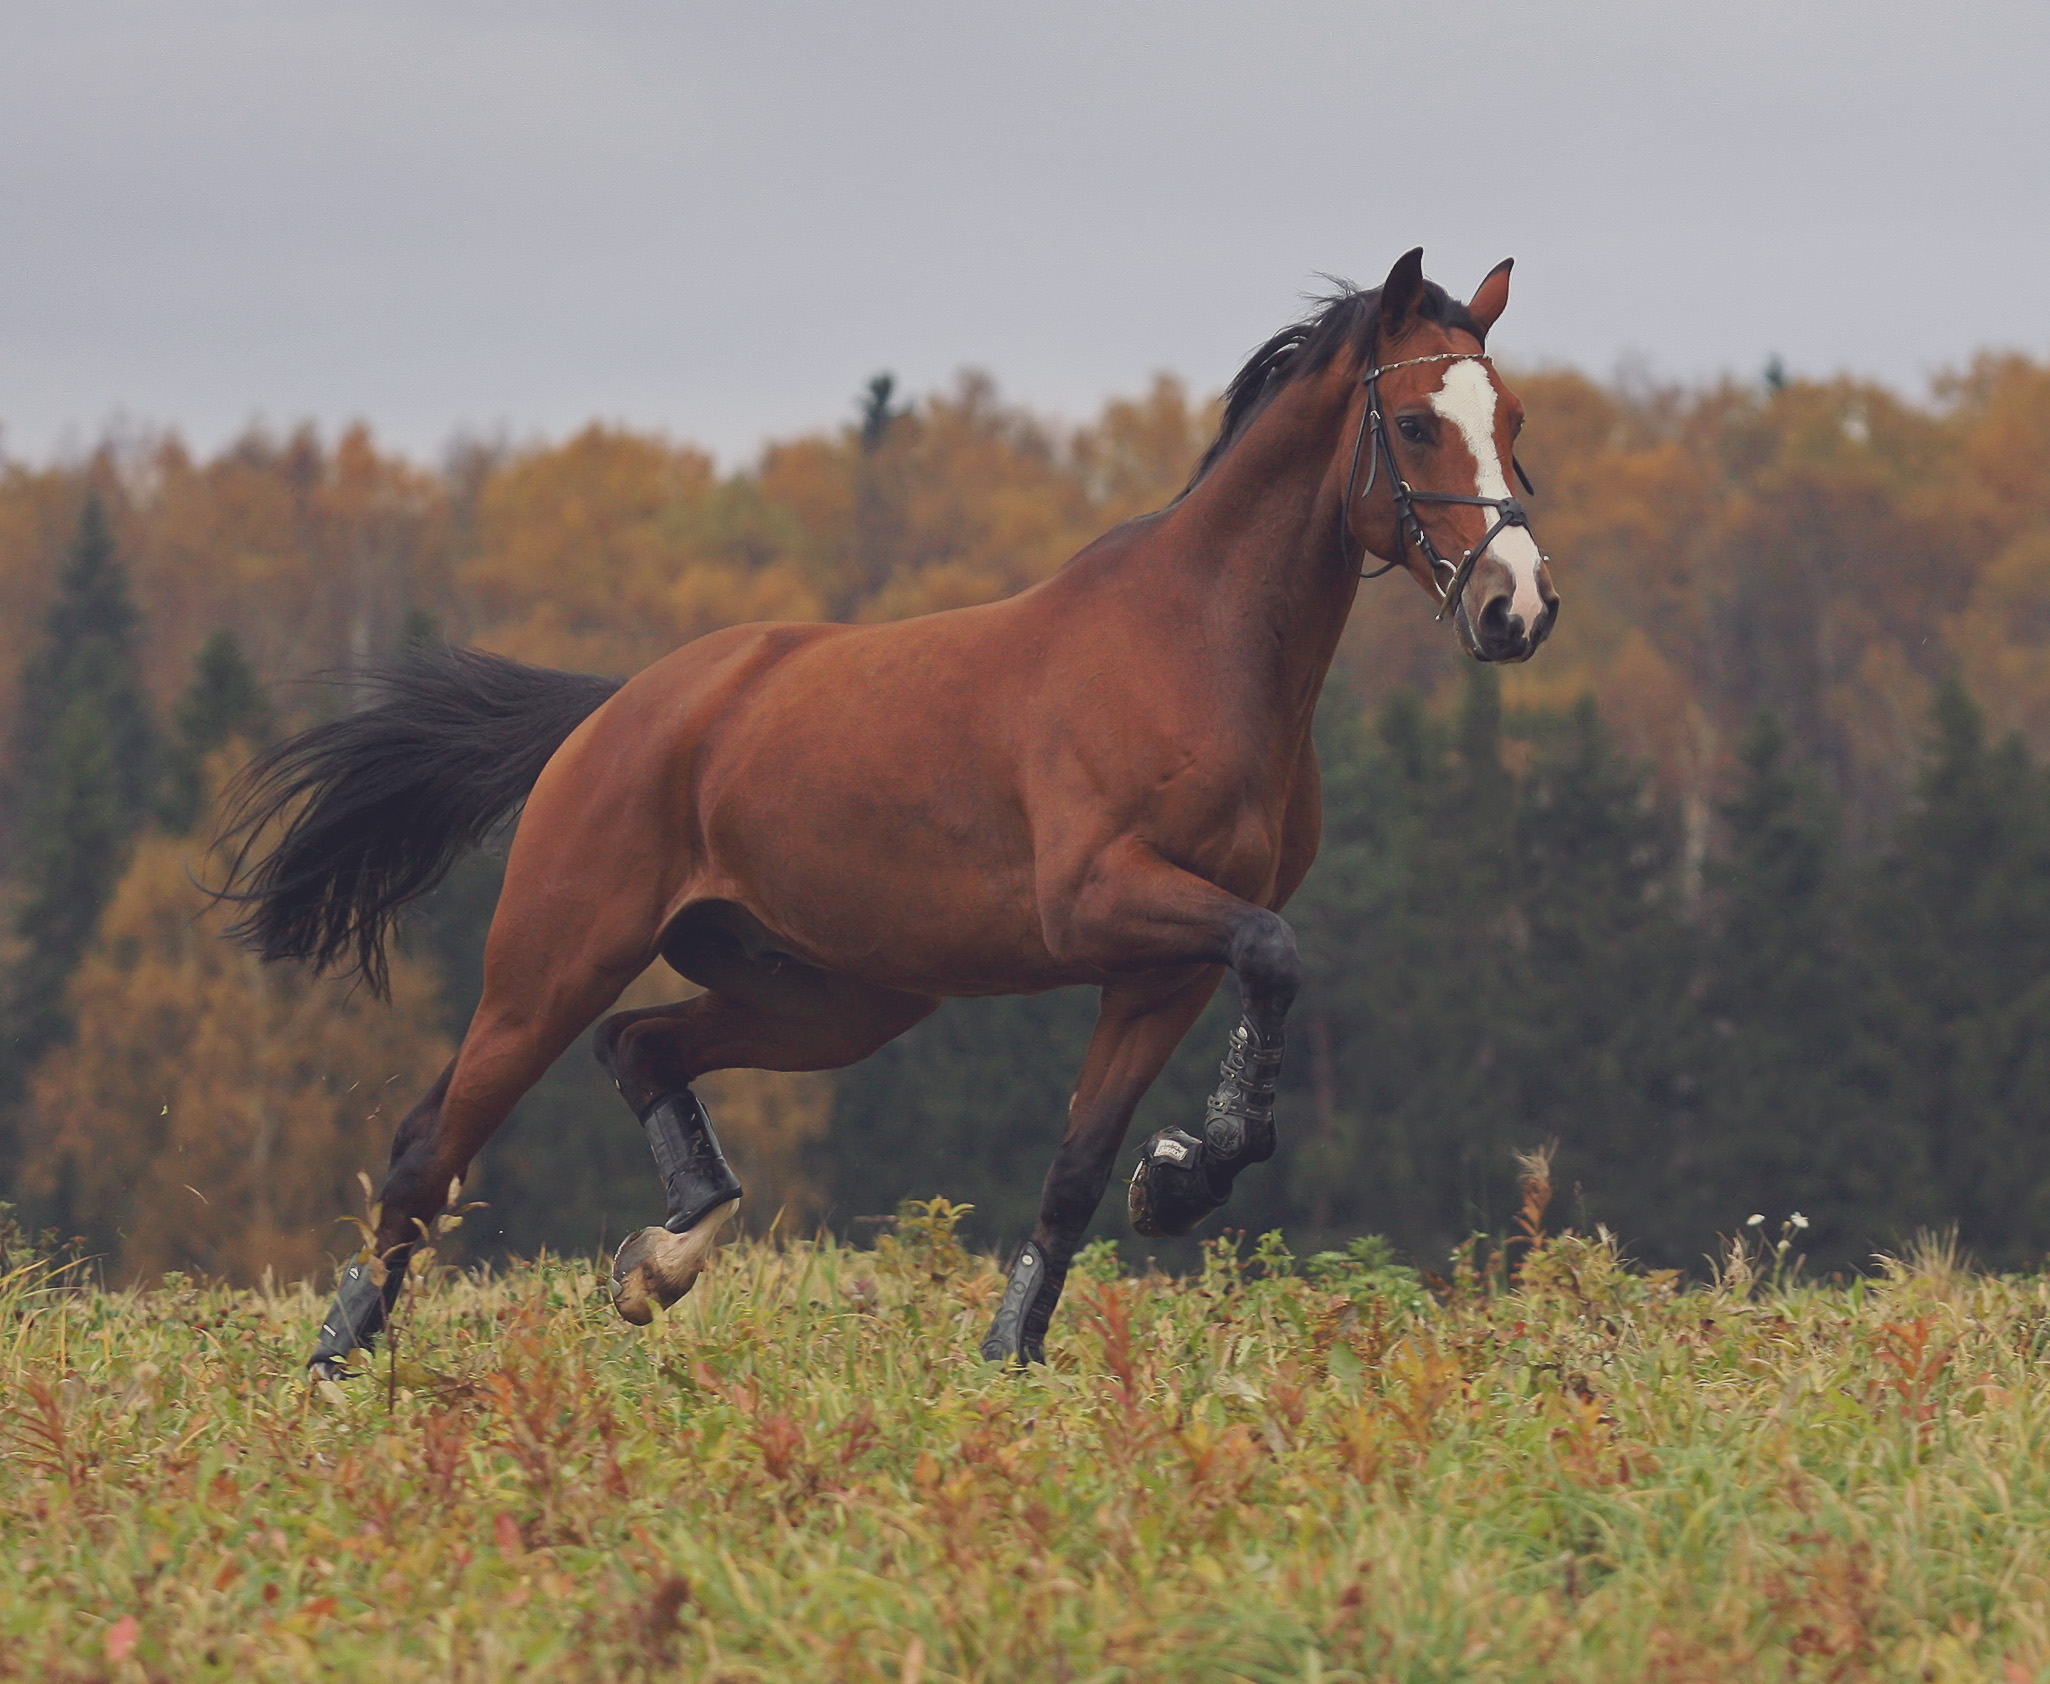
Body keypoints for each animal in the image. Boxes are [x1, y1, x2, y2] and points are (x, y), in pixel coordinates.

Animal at [220, 249, 1549, 1378]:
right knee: (428, 1147)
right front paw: (1180, 1176)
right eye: (1416, 422)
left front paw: (1043, 1321)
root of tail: (617, 709)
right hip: (553, 962)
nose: (1517, 608)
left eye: (1515, 424)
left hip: (833, 997)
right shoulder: (1102, 904)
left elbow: (1080, 1165)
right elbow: (1272, 954)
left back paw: (663, 1259)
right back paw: (337, 1364)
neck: (1199, 651)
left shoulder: (1157, 970)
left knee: (638, 1045)